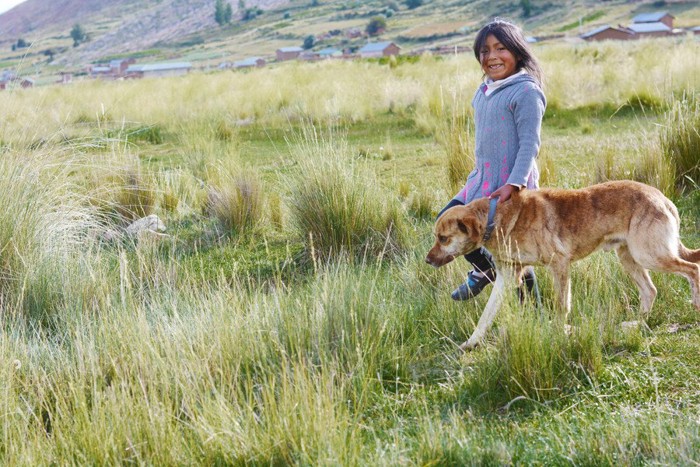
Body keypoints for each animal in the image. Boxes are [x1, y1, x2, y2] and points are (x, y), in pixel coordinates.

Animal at [424, 179, 700, 352]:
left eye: (443, 238)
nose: (427, 260)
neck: (497, 220)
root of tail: (662, 198)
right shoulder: (507, 276)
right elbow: (486, 316)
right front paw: (471, 343)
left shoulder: (559, 264)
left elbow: (560, 306)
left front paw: (557, 335)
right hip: (629, 257)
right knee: (650, 291)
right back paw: (636, 324)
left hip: (649, 255)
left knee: (691, 269)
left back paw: (695, 305)